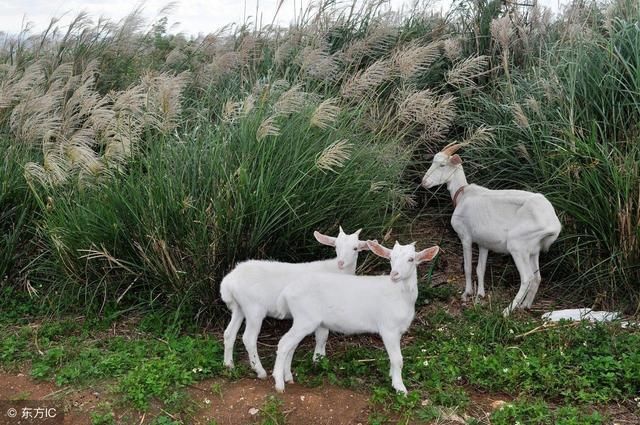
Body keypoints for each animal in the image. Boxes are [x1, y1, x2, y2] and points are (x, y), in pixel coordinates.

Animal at [219, 227, 372, 380]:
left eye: (355, 248)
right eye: (336, 246)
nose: (341, 262)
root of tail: (229, 281)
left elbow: (322, 338)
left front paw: (320, 360)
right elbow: (322, 336)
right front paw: (318, 362)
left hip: (239, 308)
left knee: (229, 333)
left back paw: (229, 365)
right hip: (254, 309)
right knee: (249, 338)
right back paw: (260, 371)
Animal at [270, 240, 440, 392]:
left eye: (411, 259)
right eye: (390, 258)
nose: (394, 274)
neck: (400, 294)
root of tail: (287, 292)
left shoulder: (398, 331)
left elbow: (395, 359)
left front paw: (392, 377)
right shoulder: (388, 328)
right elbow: (398, 359)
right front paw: (400, 388)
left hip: (302, 319)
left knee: (291, 346)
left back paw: (288, 377)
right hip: (305, 318)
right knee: (284, 343)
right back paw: (279, 383)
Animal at [422, 143, 564, 314]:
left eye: (442, 165)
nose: (424, 182)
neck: (463, 195)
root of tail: (553, 224)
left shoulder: (465, 237)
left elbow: (468, 267)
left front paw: (466, 293)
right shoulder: (484, 243)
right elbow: (480, 268)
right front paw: (480, 294)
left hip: (518, 245)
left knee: (527, 278)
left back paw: (507, 311)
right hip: (533, 249)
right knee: (537, 277)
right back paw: (525, 305)